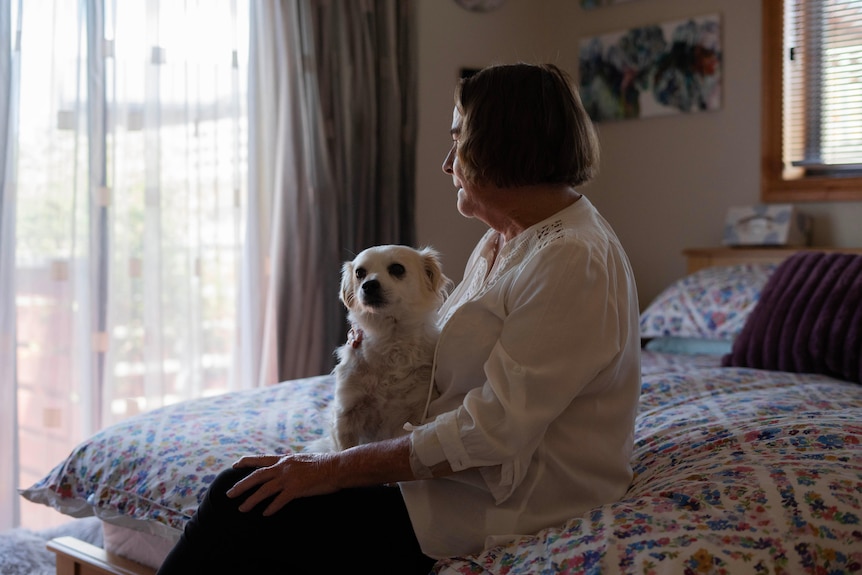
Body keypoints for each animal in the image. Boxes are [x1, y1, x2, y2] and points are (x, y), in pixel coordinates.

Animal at [316, 245, 452, 452]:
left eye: (397, 269)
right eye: (360, 273)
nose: (369, 285)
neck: (390, 339)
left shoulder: (416, 410)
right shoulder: (346, 413)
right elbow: (345, 449)